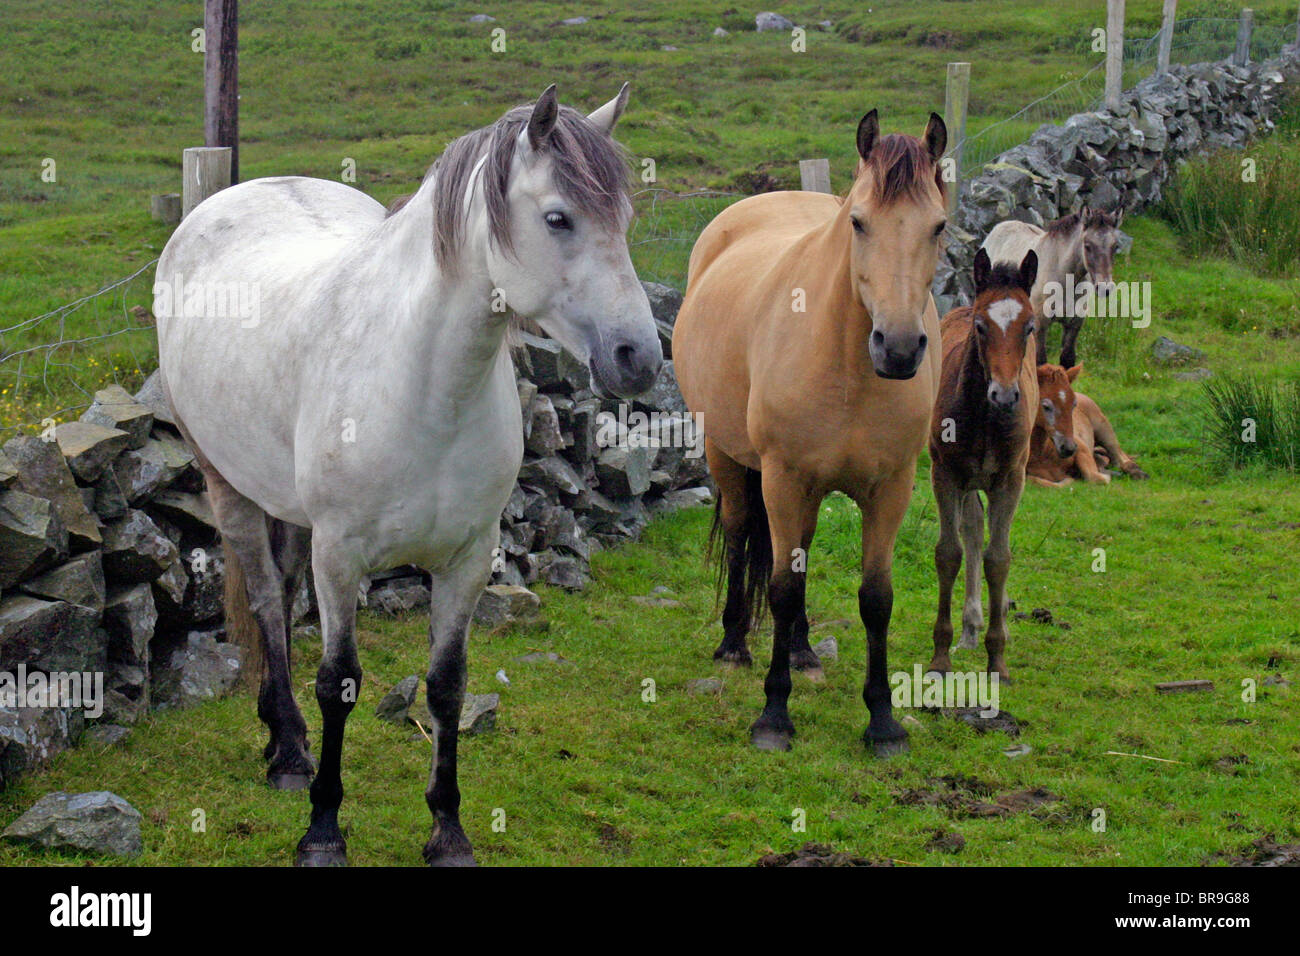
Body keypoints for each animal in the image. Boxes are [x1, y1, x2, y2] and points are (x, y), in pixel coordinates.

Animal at [153, 85, 662, 866]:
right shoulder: (341, 556)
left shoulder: (467, 559)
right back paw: (289, 752)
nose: (639, 357)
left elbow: (448, 686)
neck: (424, 388)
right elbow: (340, 681)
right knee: (267, 600)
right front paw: (323, 830)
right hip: (225, 483)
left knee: (283, 591)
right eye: (558, 218)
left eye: (626, 220)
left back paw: (282, 736)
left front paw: (447, 829)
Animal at [673, 109, 948, 755]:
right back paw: (734, 646)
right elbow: (779, 587)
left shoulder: (891, 488)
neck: (846, 362)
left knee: (799, 547)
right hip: (728, 456)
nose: (900, 348)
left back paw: (800, 650)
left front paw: (883, 721)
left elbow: (876, 599)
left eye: (939, 226)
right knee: (743, 534)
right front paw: (774, 715)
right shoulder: (782, 476)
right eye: (858, 222)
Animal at [927, 247, 1039, 683]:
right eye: (980, 326)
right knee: (972, 530)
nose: (1004, 395)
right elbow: (949, 552)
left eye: (1029, 327)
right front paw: (940, 656)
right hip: (968, 479)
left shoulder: (1010, 480)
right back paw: (969, 628)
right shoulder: (945, 474)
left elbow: (998, 559)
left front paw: (998, 659)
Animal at [981, 206, 1123, 368]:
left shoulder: (1074, 323)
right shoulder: (1040, 324)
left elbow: (1067, 359)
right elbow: (1040, 362)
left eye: (1115, 246)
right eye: (1087, 246)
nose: (1105, 288)